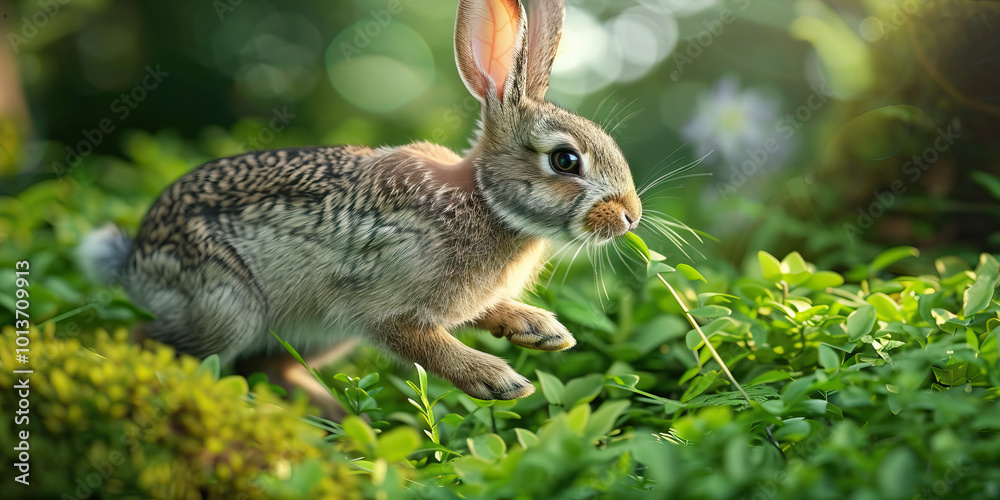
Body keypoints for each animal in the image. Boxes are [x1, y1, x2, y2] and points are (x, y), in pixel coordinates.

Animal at [81, 0, 642, 418]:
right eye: (565, 160)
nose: (631, 216)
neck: (485, 199)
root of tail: (133, 260)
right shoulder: (377, 305)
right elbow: (424, 345)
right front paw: (500, 381)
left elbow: (487, 311)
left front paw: (544, 331)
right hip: (230, 308)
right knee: (149, 341)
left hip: (317, 336)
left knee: (267, 369)